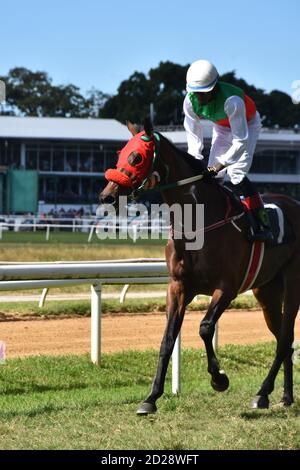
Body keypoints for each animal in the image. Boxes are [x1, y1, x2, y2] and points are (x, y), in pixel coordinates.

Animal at [100, 119, 300, 414]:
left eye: (136, 157)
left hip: (292, 283)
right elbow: (168, 338)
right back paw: (284, 396)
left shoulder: (226, 287)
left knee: (285, 338)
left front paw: (219, 378)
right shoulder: (178, 287)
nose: (107, 196)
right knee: (284, 341)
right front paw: (151, 397)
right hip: (267, 291)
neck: (197, 224)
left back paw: (262, 393)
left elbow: (205, 327)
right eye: (119, 154)